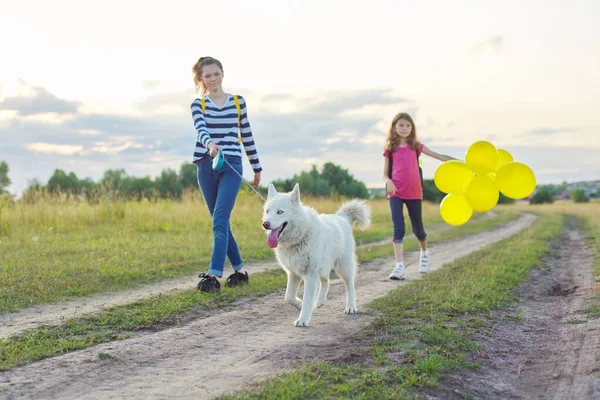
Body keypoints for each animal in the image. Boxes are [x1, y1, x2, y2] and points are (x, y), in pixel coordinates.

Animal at [262, 183, 370, 326]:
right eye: (267, 211)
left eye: (280, 212)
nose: (265, 224)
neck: (299, 236)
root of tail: (342, 217)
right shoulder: (293, 273)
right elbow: (288, 297)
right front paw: (299, 305)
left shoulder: (310, 275)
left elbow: (307, 300)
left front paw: (302, 320)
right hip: (323, 267)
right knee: (326, 280)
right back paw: (319, 301)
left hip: (343, 268)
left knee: (350, 286)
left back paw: (351, 307)